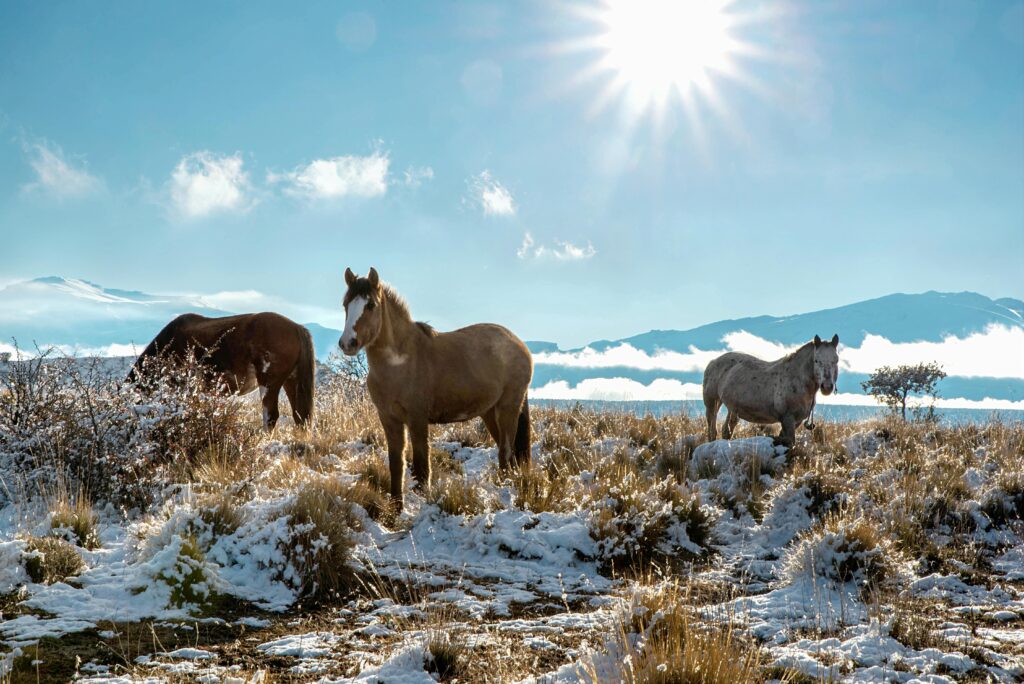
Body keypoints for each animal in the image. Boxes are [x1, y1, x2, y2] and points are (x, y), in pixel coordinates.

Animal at [339, 267, 533, 511]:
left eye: (371, 305)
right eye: (345, 304)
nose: (348, 343)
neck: (400, 362)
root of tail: (520, 345)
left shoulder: (417, 419)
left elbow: (422, 466)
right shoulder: (389, 419)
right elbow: (396, 464)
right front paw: (396, 507)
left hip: (508, 408)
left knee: (506, 451)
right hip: (490, 412)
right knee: (507, 452)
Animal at [702, 334, 840, 447]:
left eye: (836, 360)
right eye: (816, 361)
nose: (827, 386)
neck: (796, 378)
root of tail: (713, 362)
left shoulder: (796, 421)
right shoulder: (788, 419)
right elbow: (790, 442)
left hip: (733, 408)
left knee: (727, 430)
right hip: (712, 403)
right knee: (712, 430)